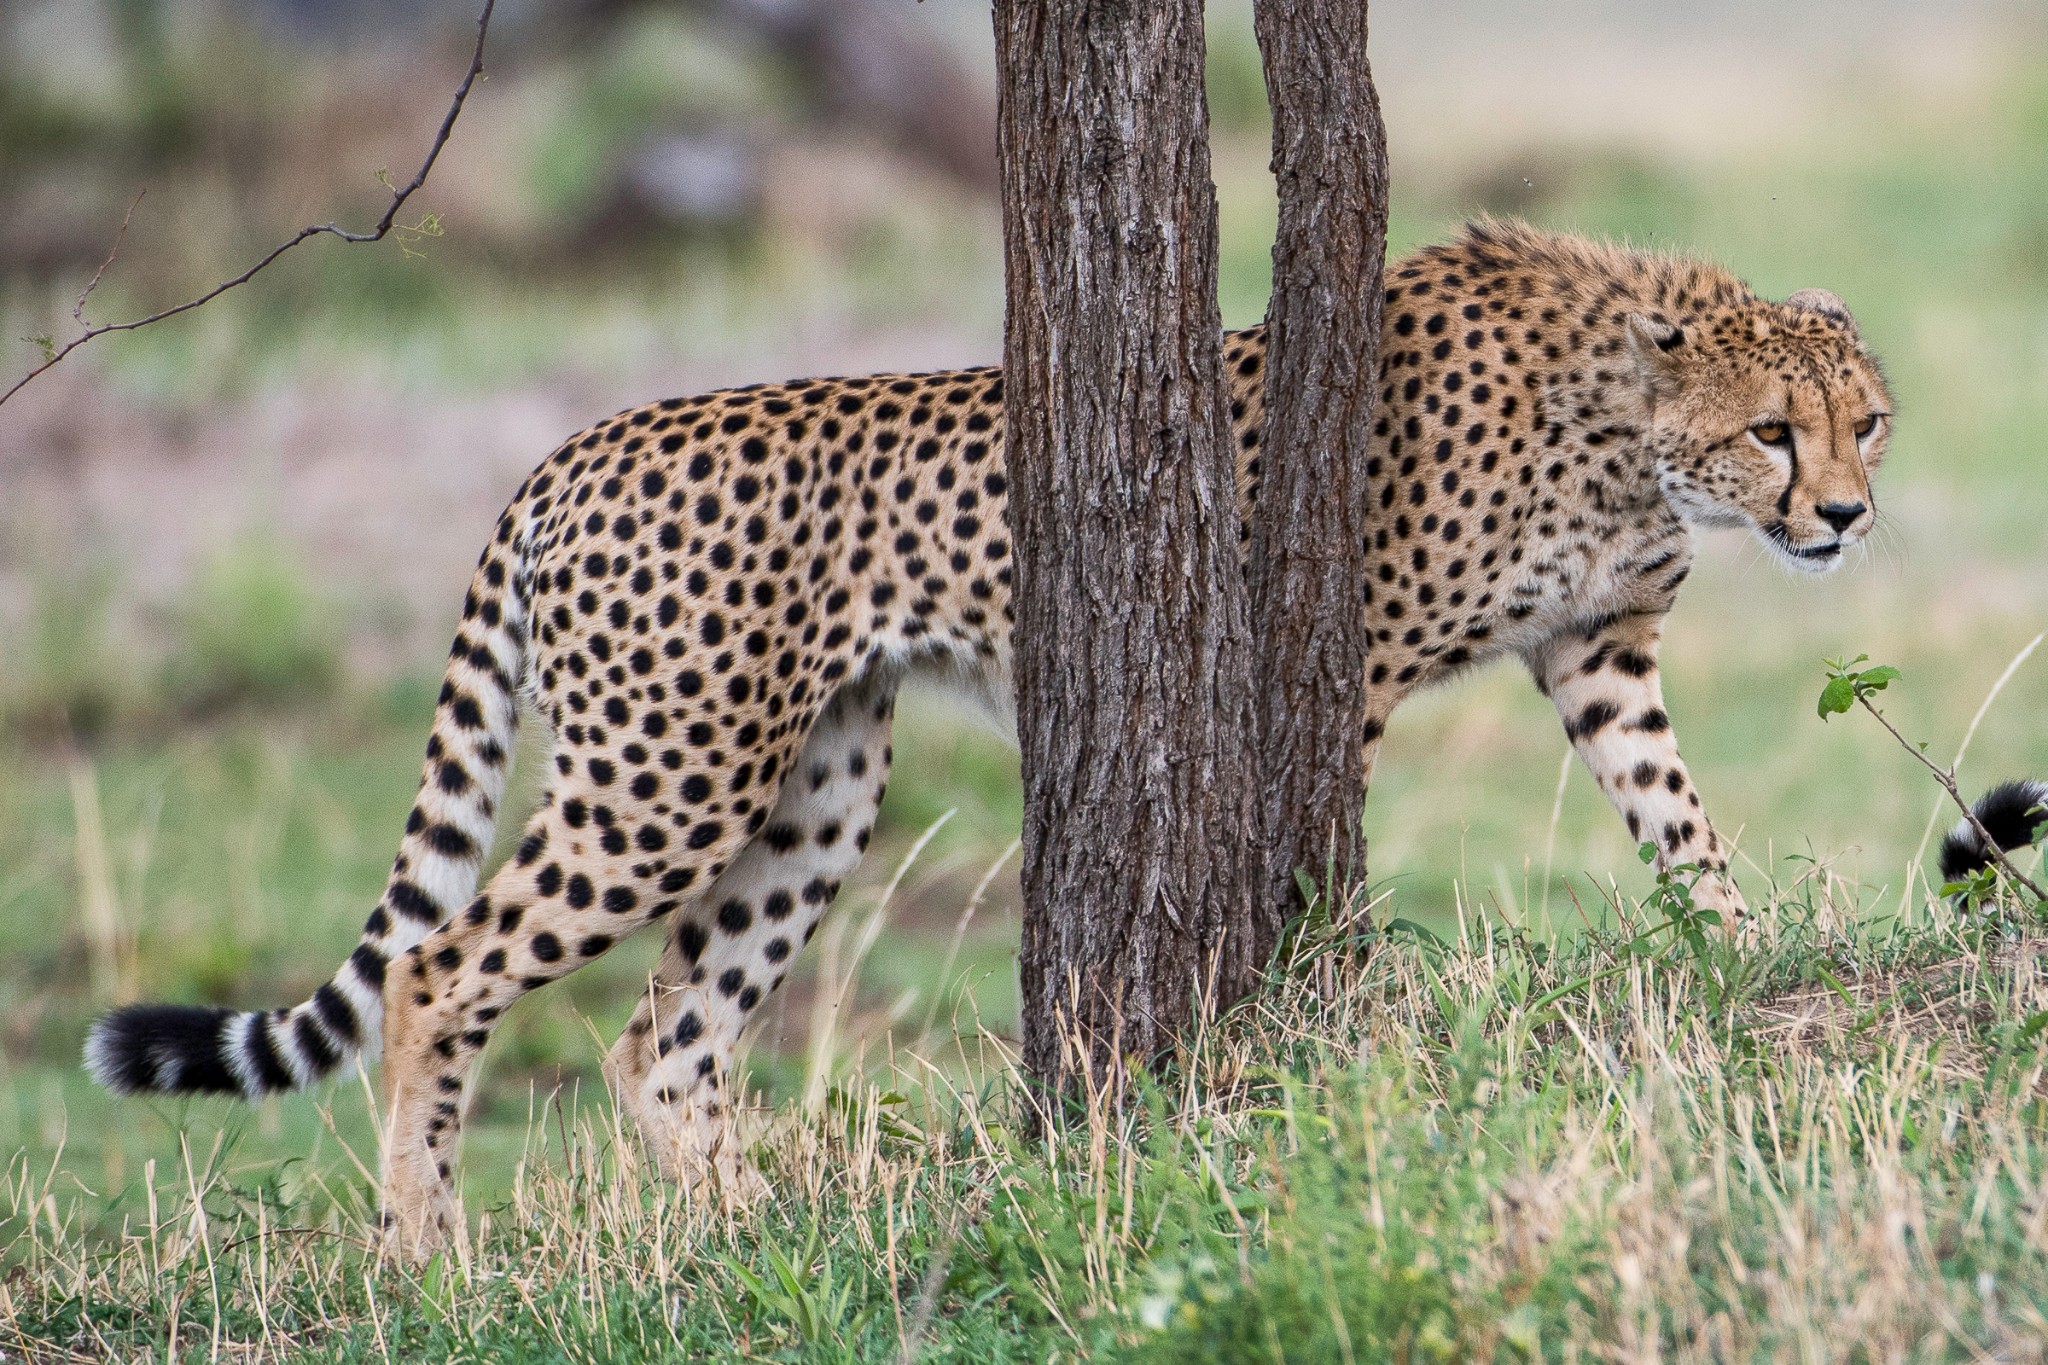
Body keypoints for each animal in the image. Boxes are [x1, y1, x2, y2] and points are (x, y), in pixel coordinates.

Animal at [88, 218, 1892, 1252]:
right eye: (1772, 432)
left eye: (1862, 420)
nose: (1848, 516)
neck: (1632, 427)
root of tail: (579, 442)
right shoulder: (1344, 661)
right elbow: (1317, 839)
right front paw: (1325, 997)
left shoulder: (1599, 654)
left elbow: (1680, 820)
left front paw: (1746, 953)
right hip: (668, 775)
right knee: (437, 966)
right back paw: (425, 1256)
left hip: (814, 785)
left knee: (661, 1038)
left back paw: (767, 1239)